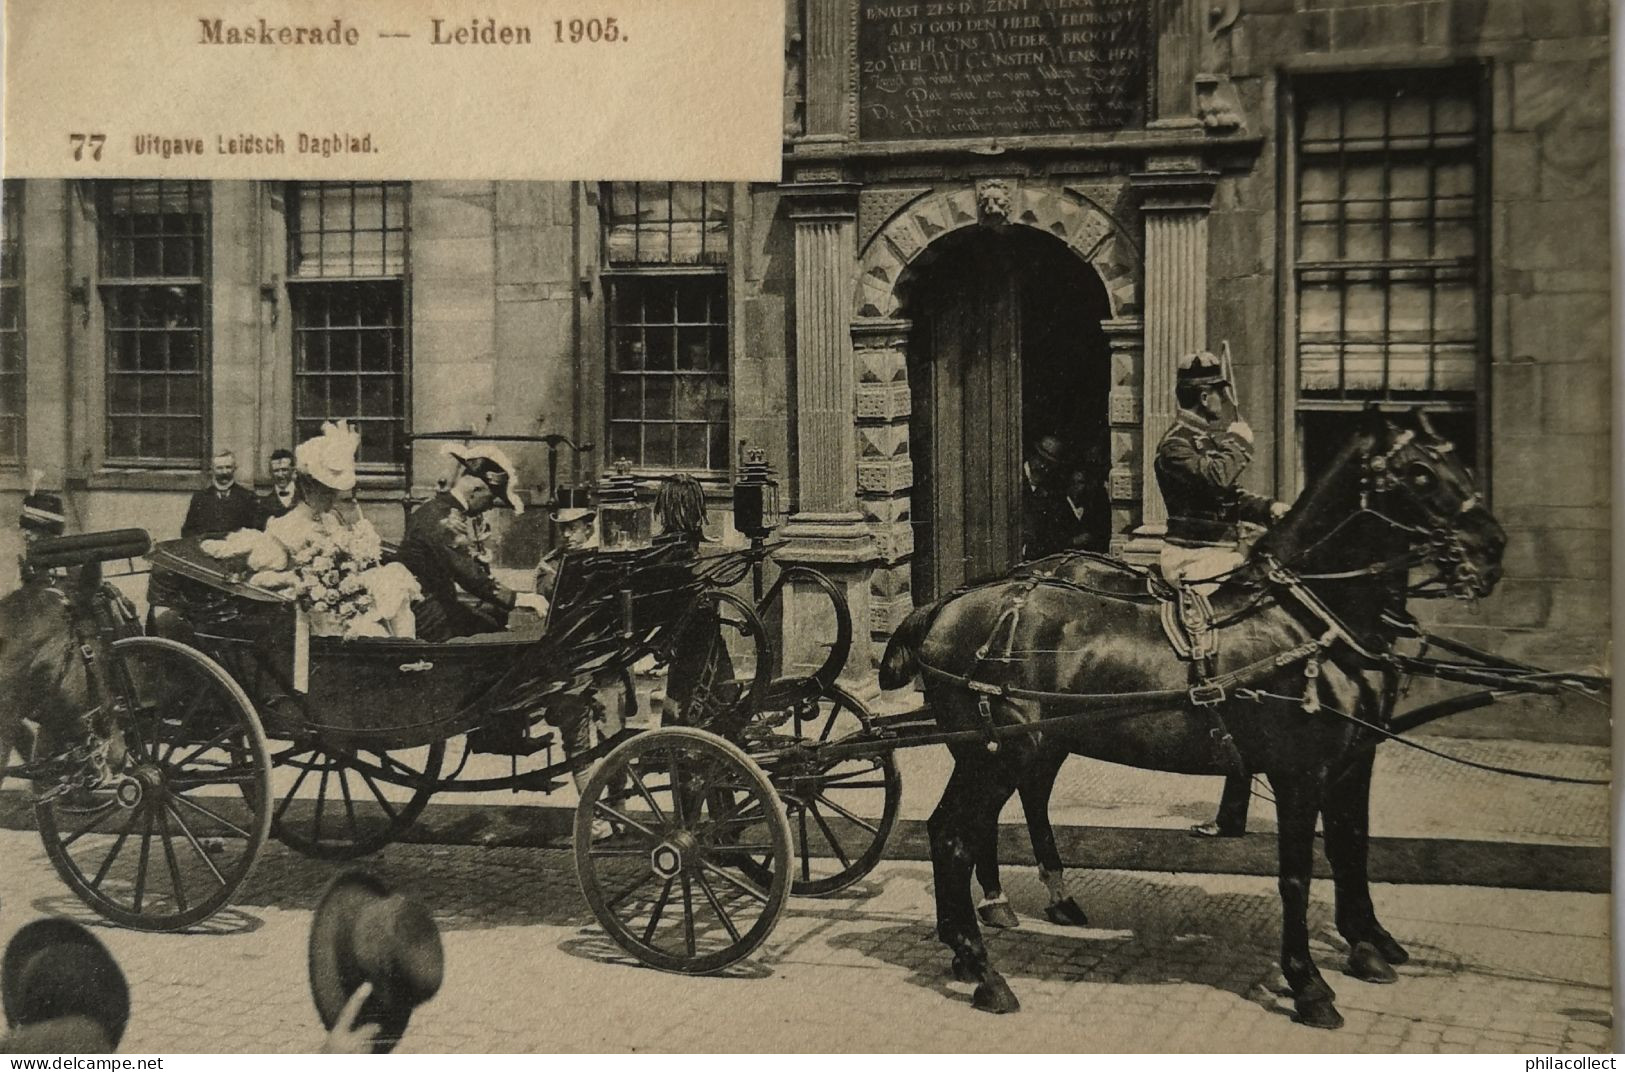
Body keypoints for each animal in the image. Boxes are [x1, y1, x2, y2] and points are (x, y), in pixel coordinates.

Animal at [884, 406, 1501, 1026]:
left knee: (985, 819)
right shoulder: (1299, 773)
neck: (1304, 620)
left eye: (1458, 458)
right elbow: (1297, 874)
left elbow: (1352, 847)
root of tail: (944, 605)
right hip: (997, 751)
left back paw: (988, 933)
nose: (1492, 548)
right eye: (1419, 472)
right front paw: (1308, 982)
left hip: (1024, 746)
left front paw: (1368, 943)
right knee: (953, 835)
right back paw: (985, 967)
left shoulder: (1352, 762)